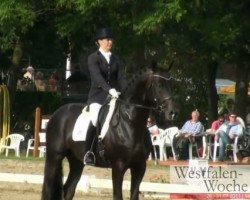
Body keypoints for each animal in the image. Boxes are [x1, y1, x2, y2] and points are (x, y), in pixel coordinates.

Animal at [41, 69, 178, 200]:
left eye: (172, 85)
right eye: (159, 85)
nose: (172, 113)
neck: (130, 123)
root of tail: (57, 113)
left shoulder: (139, 167)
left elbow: (134, 196)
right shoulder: (118, 167)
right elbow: (117, 196)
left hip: (76, 161)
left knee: (69, 189)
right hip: (54, 156)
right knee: (48, 187)